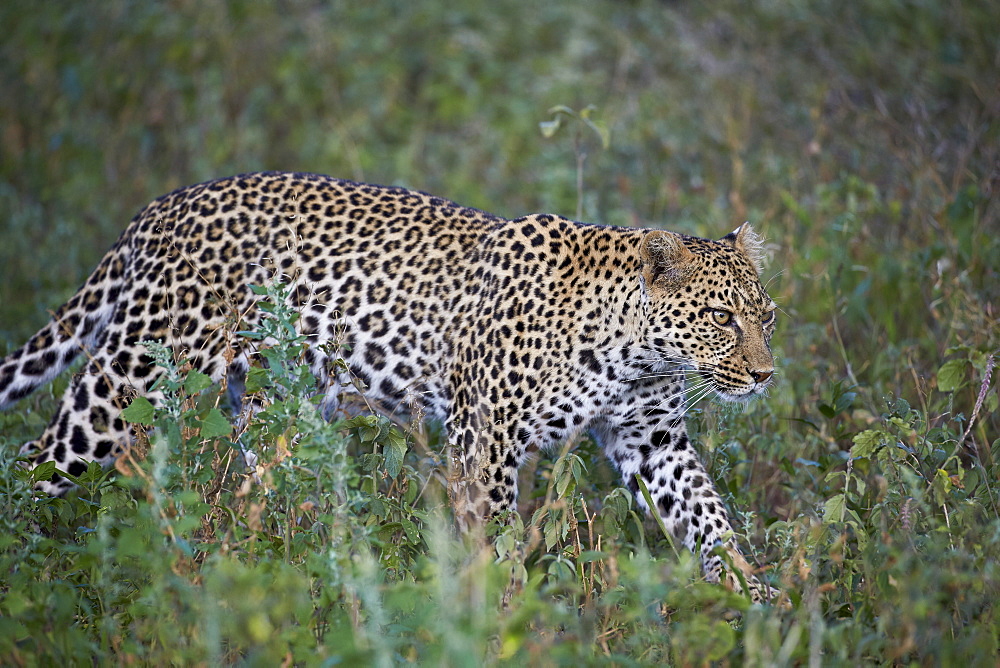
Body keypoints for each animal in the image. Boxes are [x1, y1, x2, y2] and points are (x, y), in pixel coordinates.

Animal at [0, 171, 780, 600]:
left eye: (766, 316)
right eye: (721, 318)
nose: (766, 374)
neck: (634, 352)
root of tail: (157, 209)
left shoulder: (654, 441)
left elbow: (710, 518)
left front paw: (761, 601)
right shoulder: (485, 440)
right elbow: (496, 539)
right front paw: (506, 612)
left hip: (260, 409)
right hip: (125, 383)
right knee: (32, 462)